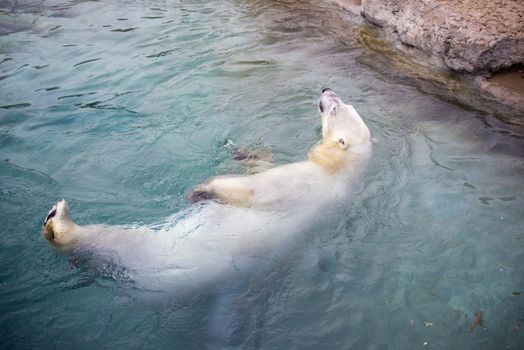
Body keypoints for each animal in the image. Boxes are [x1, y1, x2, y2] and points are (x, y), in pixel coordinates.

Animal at [43, 89, 374, 292]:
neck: (340, 170)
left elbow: (254, 189)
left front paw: (201, 191)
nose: (326, 91)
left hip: (162, 256)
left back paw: (58, 220)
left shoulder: (305, 183)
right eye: (342, 104)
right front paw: (244, 152)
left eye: (335, 109)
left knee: (112, 241)